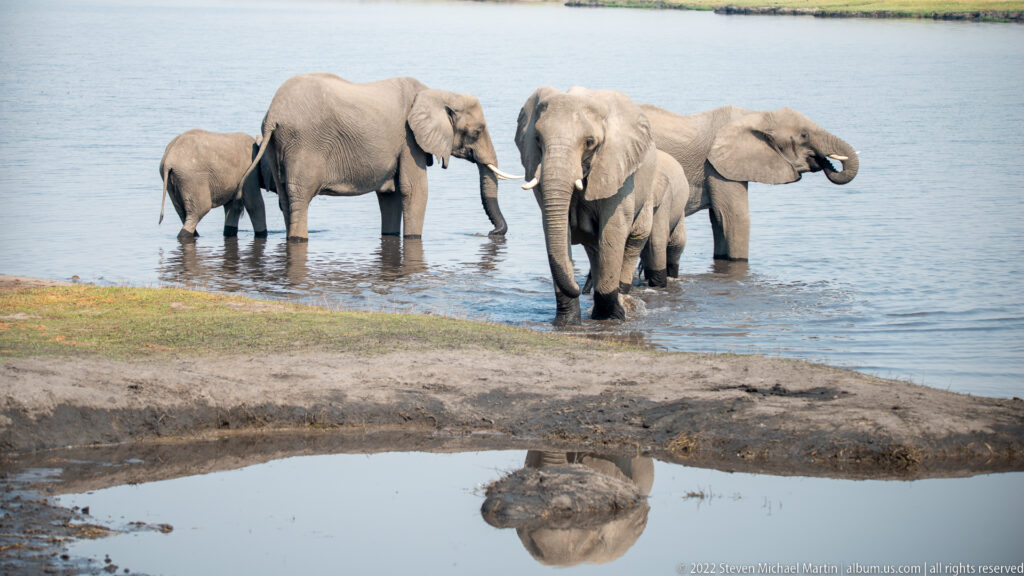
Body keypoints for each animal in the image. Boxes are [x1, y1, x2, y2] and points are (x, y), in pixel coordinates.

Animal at [240, 73, 518, 244]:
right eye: (477, 131)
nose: (489, 233)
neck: (436, 93)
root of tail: (272, 114)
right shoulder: (409, 139)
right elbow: (415, 190)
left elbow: (391, 194)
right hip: (303, 143)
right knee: (300, 196)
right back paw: (299, 239)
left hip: (277, 146)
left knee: (285, 198)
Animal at [516, 86, 658, 326]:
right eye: (537, 139)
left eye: (590, 142)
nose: (577, 287)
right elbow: (557, 230)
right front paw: (566, 323)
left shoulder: (617, 169)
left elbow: (613, 231)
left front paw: (611, 318)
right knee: (595, 249)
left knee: (631, 242)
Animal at [641, 105, 859, 261]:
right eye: (804, 135)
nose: (824, 160)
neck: (757, 115)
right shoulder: (717, 167)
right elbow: (734, 219)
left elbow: (719, 221)